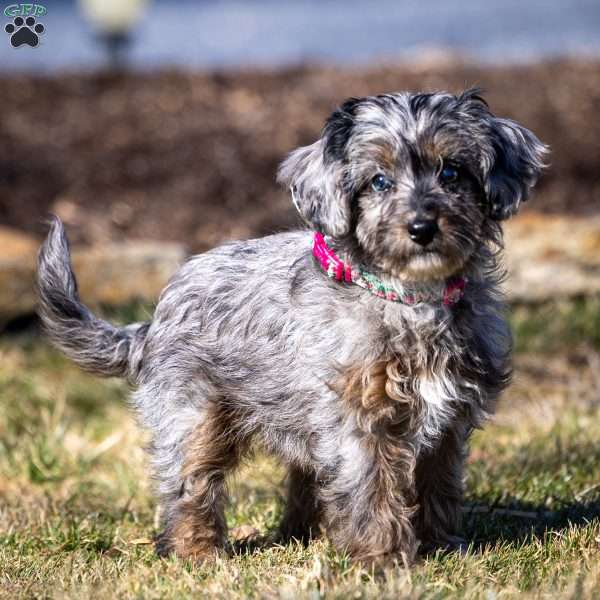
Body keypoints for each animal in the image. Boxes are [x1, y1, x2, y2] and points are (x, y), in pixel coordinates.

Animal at [35, 86, 548, 564]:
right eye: (379, 181)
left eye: (452, 172)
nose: (422, 227)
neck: (408, 297)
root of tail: (153, 320)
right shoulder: (361, 420)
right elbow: (373, 491)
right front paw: (383, 561)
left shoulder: (447, 421)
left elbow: (437, 485)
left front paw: (440, 546)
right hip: (195, 417)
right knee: (191, 485)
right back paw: (196, 552)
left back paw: (304, 534)